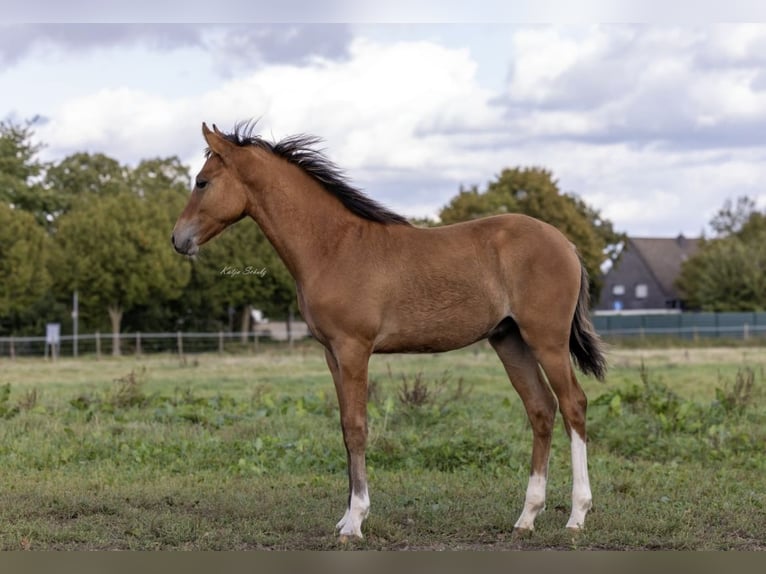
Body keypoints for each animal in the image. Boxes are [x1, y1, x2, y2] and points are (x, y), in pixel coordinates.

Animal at [172, 124, 608, 544]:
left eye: (202, 182)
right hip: (510, 340)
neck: (333, 245)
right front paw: (346, 516)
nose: (178, 239)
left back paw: (576, 516)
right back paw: (526, 518)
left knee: (573, 405)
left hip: (547, 341)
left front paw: (355, 523)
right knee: (541, 409)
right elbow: (344, 428)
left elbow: (357, 427)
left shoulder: (354, 349)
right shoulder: (332, 353)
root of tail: (567, 244)